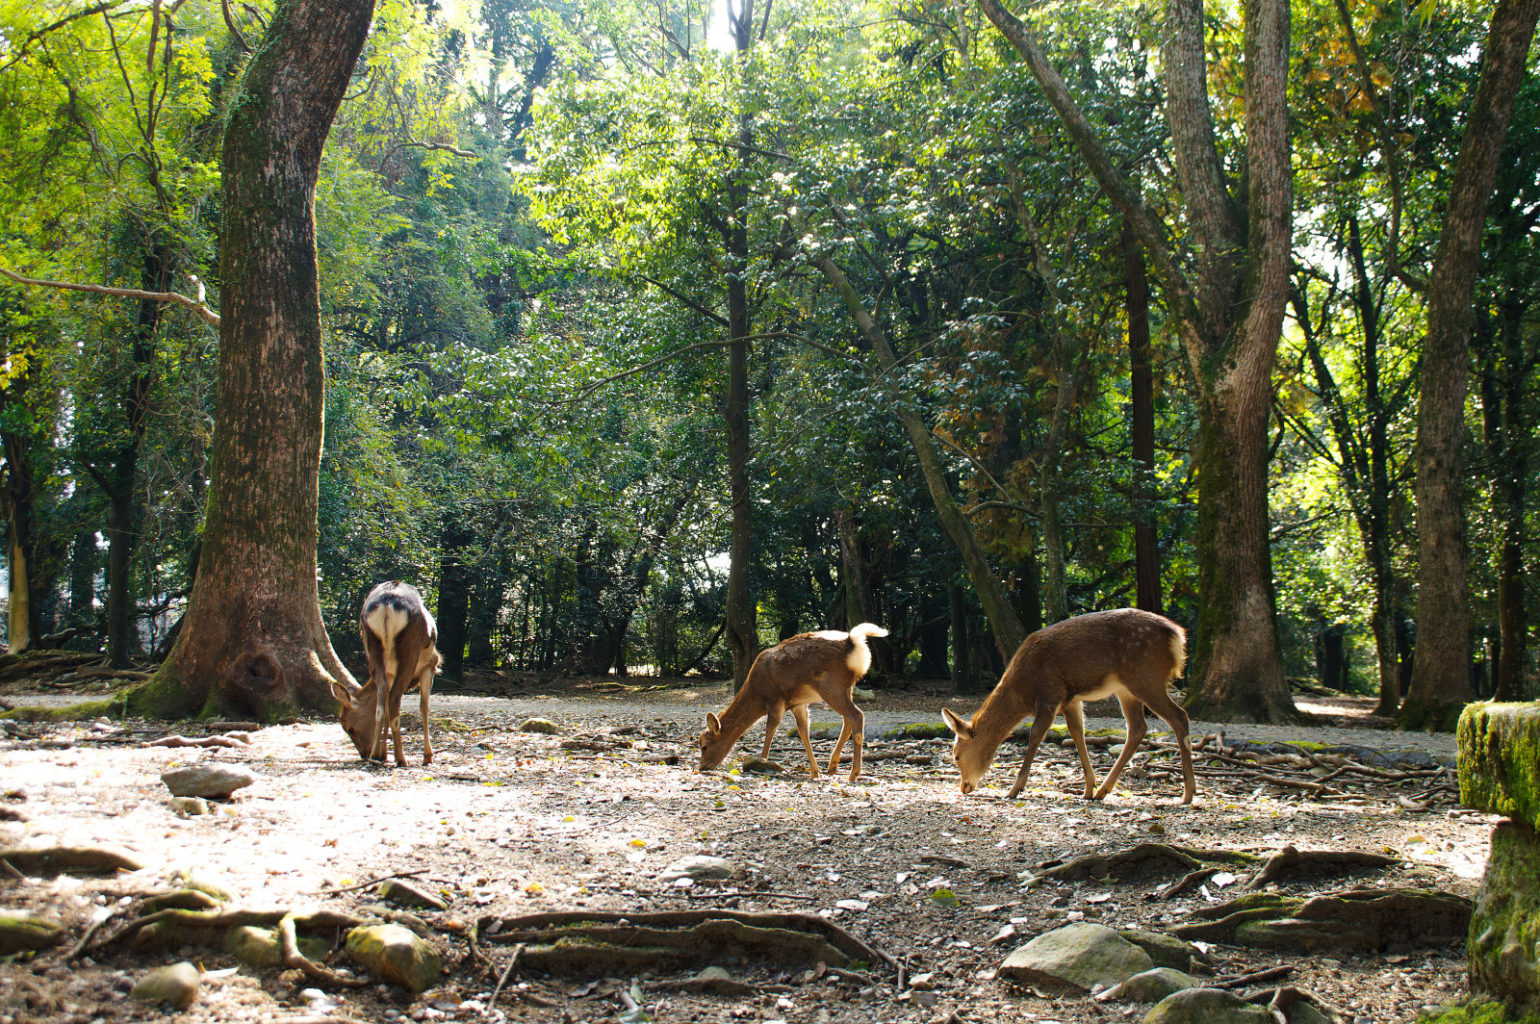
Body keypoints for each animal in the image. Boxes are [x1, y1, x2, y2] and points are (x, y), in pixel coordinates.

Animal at [329, 578, 443, 763]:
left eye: (349, 728)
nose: (363, 753)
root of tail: (387, 605)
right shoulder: (430, 665)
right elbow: (424, 706)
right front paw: (428, 755)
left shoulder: (391, 672)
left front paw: (382, 752)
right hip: (410, 651)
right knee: (395, 698)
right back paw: (400, 758)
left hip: (370, 645)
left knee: (382, 697)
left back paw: (377, 755)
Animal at [699, 622, 893, 782]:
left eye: (704, 746)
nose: (702, 768)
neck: (757, 694)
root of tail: (853, 641)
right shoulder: (799, 704)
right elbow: (803, 732)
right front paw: (814, 771)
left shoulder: (776, 699)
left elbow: (770, 730)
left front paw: (761, 761)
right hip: (846, 688)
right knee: (847, 720)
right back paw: (832, 766)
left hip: (831, 686)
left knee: (856, 716)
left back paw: (853, 773)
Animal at [936, 606, 1201, 806]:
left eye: (956, 755)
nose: (964, 787)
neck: (1022, 691)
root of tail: (1178, 637)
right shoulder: (1071, 700)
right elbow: (1077, 734)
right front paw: (1088, 788)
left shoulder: (1050, 695)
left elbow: (1035, 736)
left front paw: (1014, 789)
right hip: (1127, 688)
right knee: (1138, 728)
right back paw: (1103, 791)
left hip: (1145, 677)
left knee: (1179, 716)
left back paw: (1187, 793)